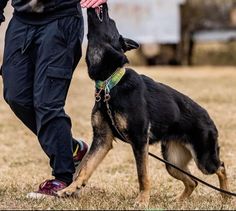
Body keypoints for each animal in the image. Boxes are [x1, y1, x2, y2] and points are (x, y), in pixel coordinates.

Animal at [57, 3, 229, 206]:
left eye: (111, 21)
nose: (104, 4)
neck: (108, 83)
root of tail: (209, 117)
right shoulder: (102, 139)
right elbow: (85, 168)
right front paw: (70, 188)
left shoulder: (139, 141)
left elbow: (142, 175)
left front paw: (142, 200)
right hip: (173, 162)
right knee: (193, 181)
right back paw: (179, 200)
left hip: (203, 160)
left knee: (221, 167)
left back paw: (226, 196)